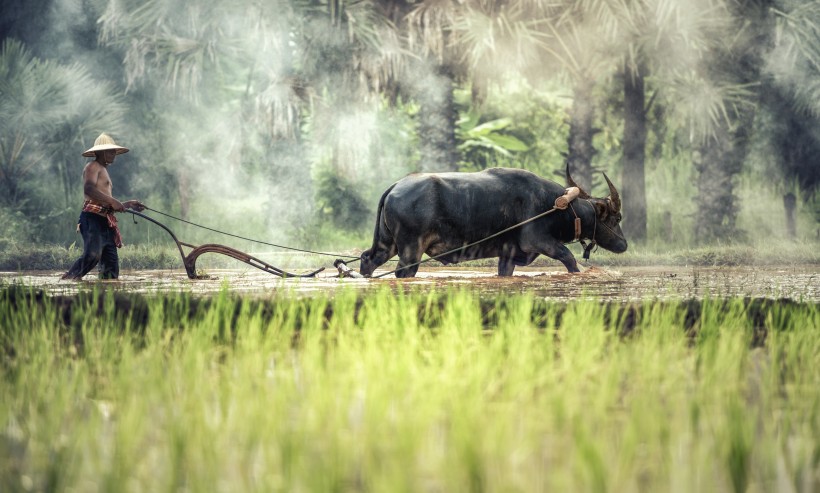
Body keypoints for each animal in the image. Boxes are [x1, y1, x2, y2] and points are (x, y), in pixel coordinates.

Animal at [360, 166, 628, 276]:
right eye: (617, 217)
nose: (624, 244)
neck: (557, 205)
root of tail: (396, 186)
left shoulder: (508, 255)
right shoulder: (539, 241)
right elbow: (569, 259)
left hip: (386, 244)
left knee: (368, 260)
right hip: (410, 250)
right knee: (403, 272)